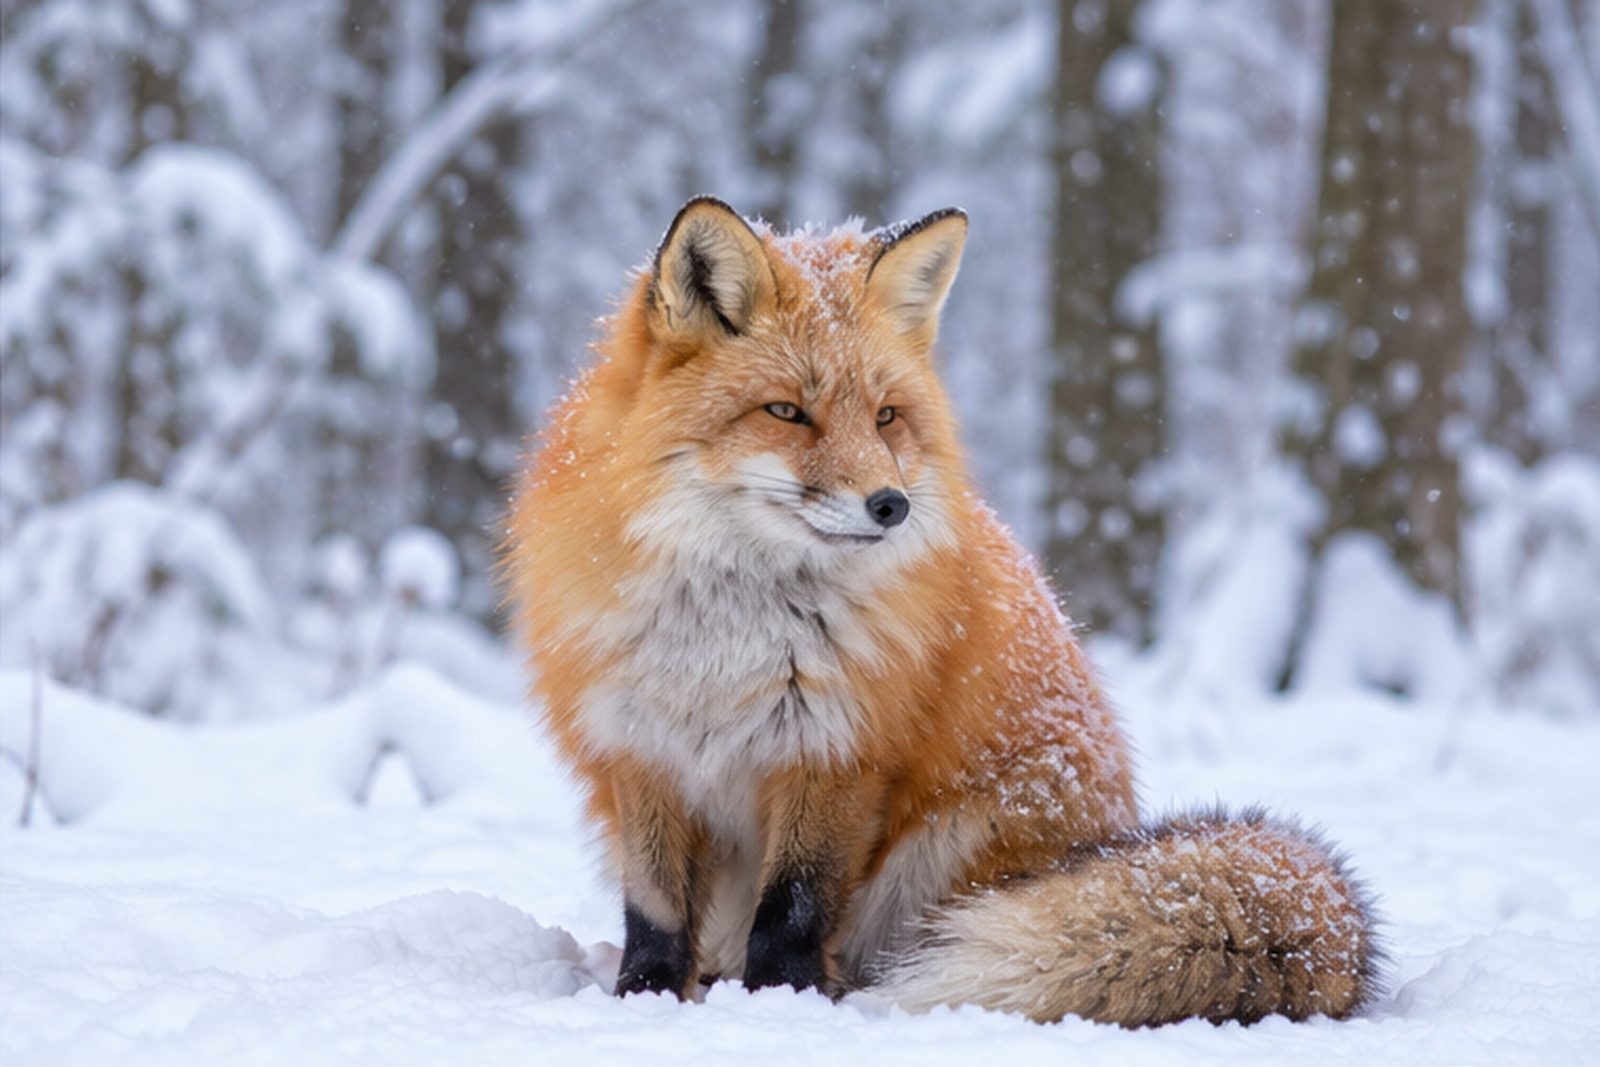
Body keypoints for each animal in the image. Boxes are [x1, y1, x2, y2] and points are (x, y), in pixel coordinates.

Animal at [502, 197, 1381, 1028]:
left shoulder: (838, 752)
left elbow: (790, 912)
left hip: (955, 845)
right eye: (786, 412)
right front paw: (643, 1001)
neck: (729, 629)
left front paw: (780, 1005)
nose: (889, 504)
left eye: (886, 415)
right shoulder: (641, 747)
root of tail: (1115, 827)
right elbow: (654, 913)